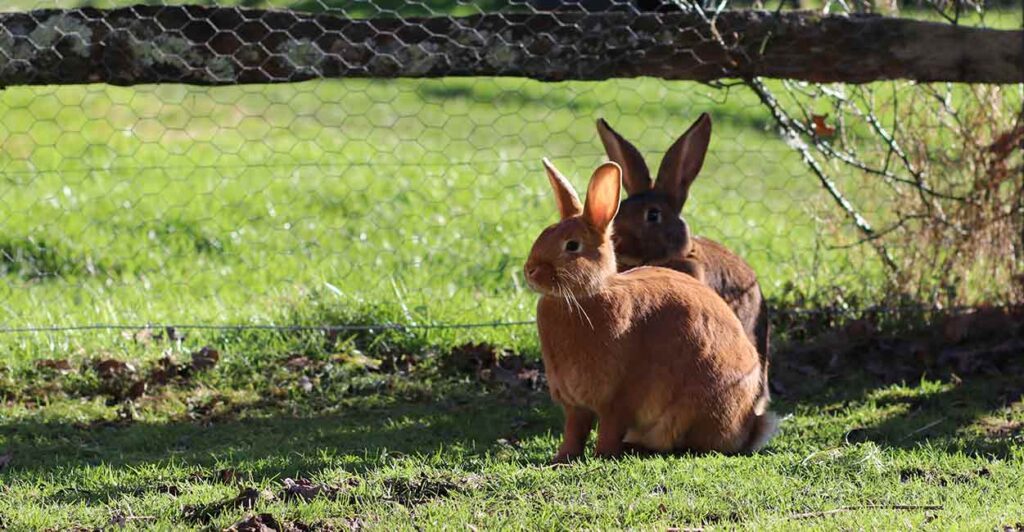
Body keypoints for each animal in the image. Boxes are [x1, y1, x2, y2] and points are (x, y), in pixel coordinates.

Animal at [524, 158, 777, 463]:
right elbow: (574, 431)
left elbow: (609, 428)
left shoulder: (618, 398)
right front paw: (560, 460)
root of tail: (749, 428)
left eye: (572, 246)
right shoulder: (575, 405)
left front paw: (602, 456)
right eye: (543, 235)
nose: (530, 271)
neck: (583, 297)